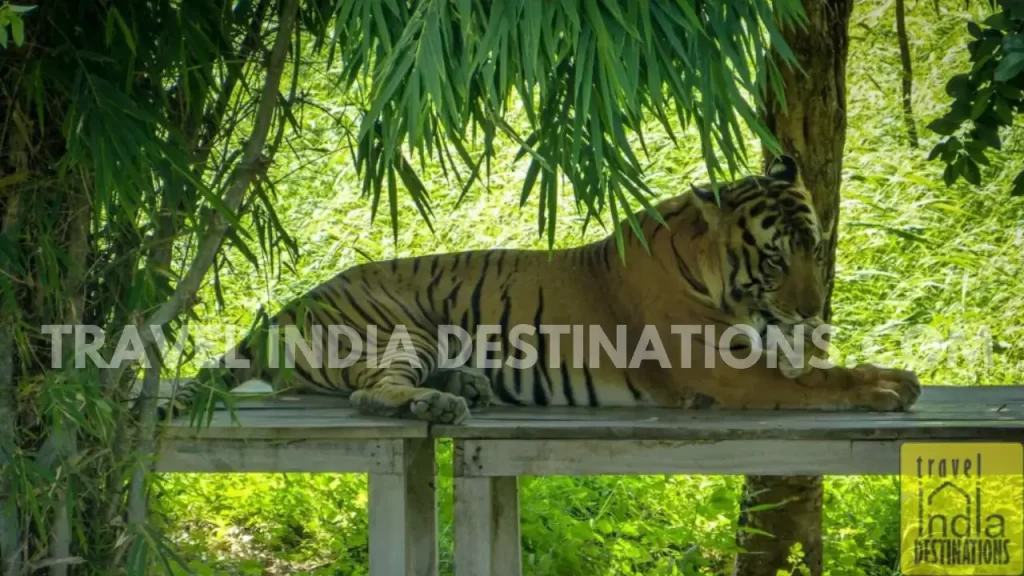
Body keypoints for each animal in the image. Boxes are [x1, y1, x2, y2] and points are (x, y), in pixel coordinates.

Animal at [157, 154, 921, 424]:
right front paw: (882, 389)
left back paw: (467, 386)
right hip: (398, 325)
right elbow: (810, 380)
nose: (813, 310)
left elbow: (811, 365)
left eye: (814, 248)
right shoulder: (716, 367)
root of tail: (293, 303)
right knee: (370, 392)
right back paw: (439, 403)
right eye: (773, 259)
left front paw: (884, 374)